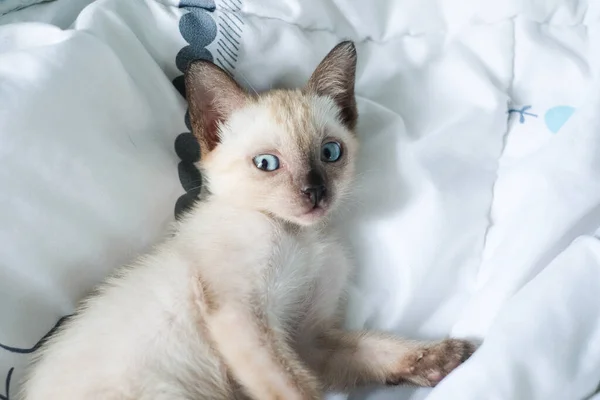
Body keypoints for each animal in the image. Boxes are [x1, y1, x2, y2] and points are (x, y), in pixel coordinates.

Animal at [18, 41, 476, 400]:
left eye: (330, 153)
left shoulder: (307, 339)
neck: (298, 236)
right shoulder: (241, 315)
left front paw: (437, 360)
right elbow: (296, 389)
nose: (315, 193)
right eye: (267, 164)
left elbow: (371, 348)